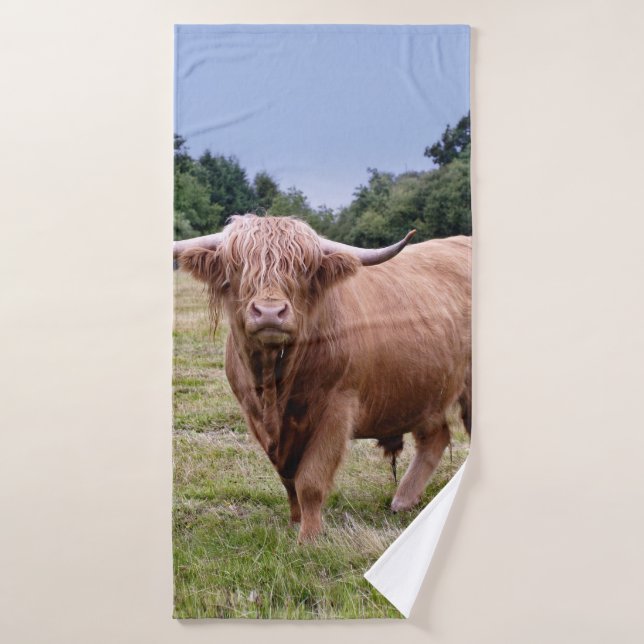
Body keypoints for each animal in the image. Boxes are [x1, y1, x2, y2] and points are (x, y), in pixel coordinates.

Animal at [174, 214, 471, 542]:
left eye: (302, 269)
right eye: (237, 266)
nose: (269, 312)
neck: (276, 386)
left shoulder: (337, 409)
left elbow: (310, 480)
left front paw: (310, 537)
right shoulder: (256, 418)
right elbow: (288, 478)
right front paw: (294, 521)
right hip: (425, 389)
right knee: (435, 437)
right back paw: (403, 500)